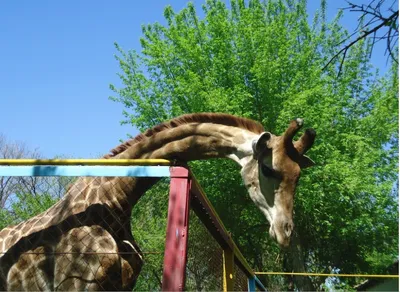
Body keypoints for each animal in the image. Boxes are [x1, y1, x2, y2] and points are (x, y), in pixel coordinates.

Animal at [0, 113, 316, 290]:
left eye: (298, 175)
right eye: (268, 169)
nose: (285, 232)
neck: (116, 198)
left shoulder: (120, 286)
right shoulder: (74, 283)